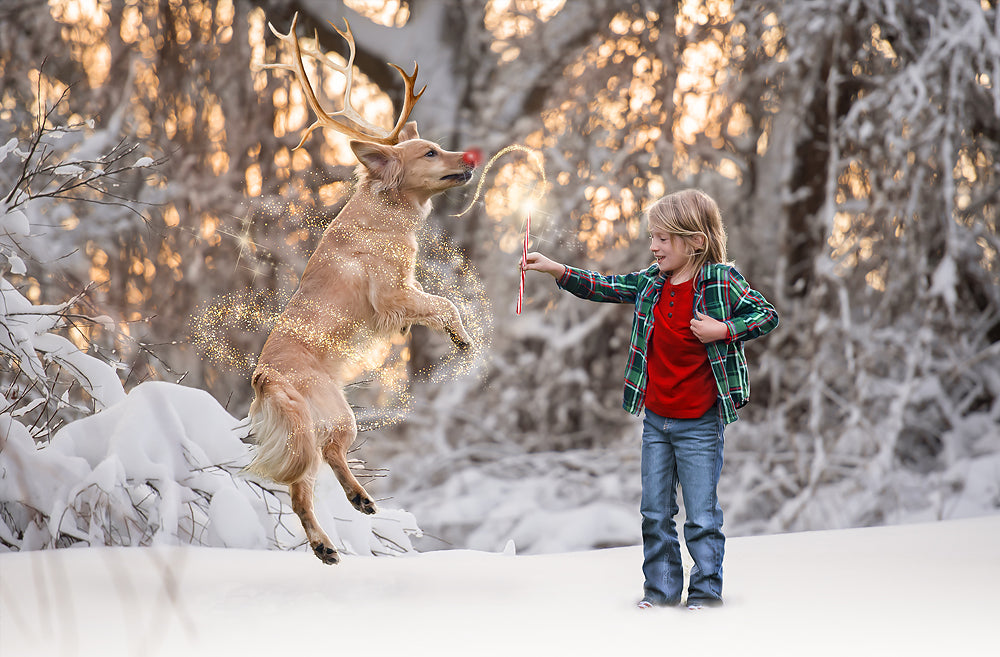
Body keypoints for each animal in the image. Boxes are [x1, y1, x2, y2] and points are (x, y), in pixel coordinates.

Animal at [246, 13, 480, 565]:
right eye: (430, 151)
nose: (469, 156)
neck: (384, 212)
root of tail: (267, 376)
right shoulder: (393, 294)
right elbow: (446, 303)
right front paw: (462, 339)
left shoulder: (405, 292)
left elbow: (438, 303)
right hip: (331, 417)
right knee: (307, 482)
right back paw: (328, 540)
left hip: (316, 425)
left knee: (322, 469)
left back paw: (354, 507)